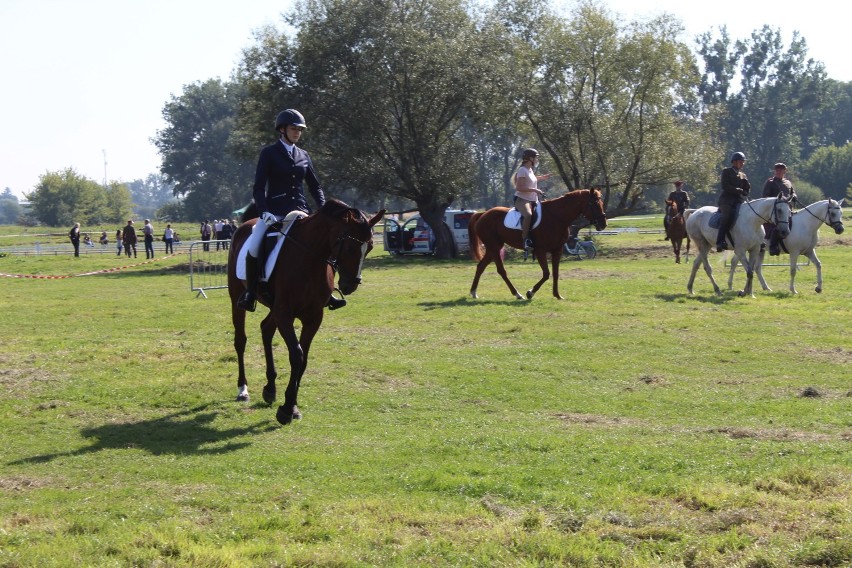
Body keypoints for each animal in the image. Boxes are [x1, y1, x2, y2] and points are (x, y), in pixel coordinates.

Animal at [228, 197, 384, 424]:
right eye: (348, 247)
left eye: (370, 247)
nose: (350, 285)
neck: (309, 260)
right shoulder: (285, 314)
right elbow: (297, 355)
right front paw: (285, 410)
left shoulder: (313, 317)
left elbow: (304, 359)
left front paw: (291, 406)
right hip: (237, 299)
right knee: (240, 340)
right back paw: (243, 389)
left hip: (274, 308)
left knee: (266, 329)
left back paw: (270, 388)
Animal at [466, 189, 604, 300]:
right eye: (594, 204)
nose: (603, 224)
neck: (557, 217)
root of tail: (483, 214)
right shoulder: (540, 251)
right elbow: (546, 274)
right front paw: (530, 293)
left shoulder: (557, 250)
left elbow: (555, 273)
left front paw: (557, 295)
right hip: (494, 247)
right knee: (501, 270)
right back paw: (517, 294)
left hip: (493, 248)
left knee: (481, 266)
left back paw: (473, 292)